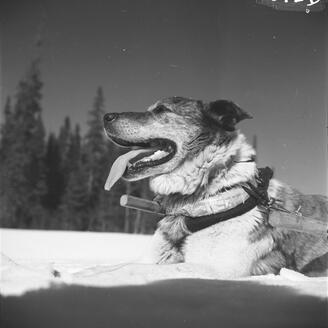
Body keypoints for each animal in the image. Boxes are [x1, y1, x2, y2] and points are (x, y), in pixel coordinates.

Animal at [70, 96, 326, 284]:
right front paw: (86, 271)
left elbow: (135, 271)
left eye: (162, 110)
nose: (106, 116)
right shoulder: (155, 256)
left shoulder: (215, 268)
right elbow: (123, 264)